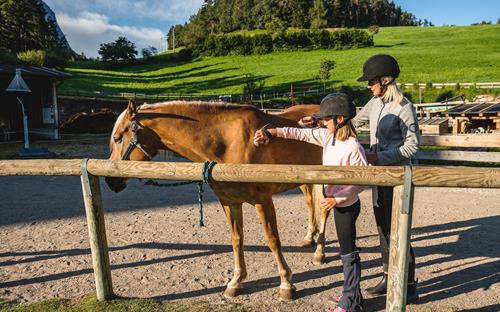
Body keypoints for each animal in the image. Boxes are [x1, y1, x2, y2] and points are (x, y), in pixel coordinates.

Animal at [106, 100, 332, 300]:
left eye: (117, 138)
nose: (110, 181)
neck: (228, 142)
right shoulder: (229, 202)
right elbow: (237, 239)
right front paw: (236, 281)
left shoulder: (263, 201)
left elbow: (273, 240)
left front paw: (286, 284)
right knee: (310, 203)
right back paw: (309, 238)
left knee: (324, 210)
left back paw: (319, 253)